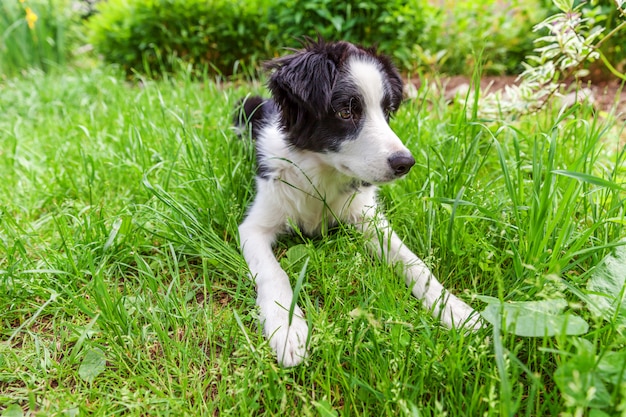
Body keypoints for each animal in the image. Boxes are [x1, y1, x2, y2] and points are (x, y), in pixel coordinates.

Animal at [233, 38, 478, 364]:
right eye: (345, 112)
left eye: (387, 111)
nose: (405, 163)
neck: (321, 174)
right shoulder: (255, 225)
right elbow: (274, 273)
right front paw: (287, 328)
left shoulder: (368, 215)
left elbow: (415, 262)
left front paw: (453, 308)